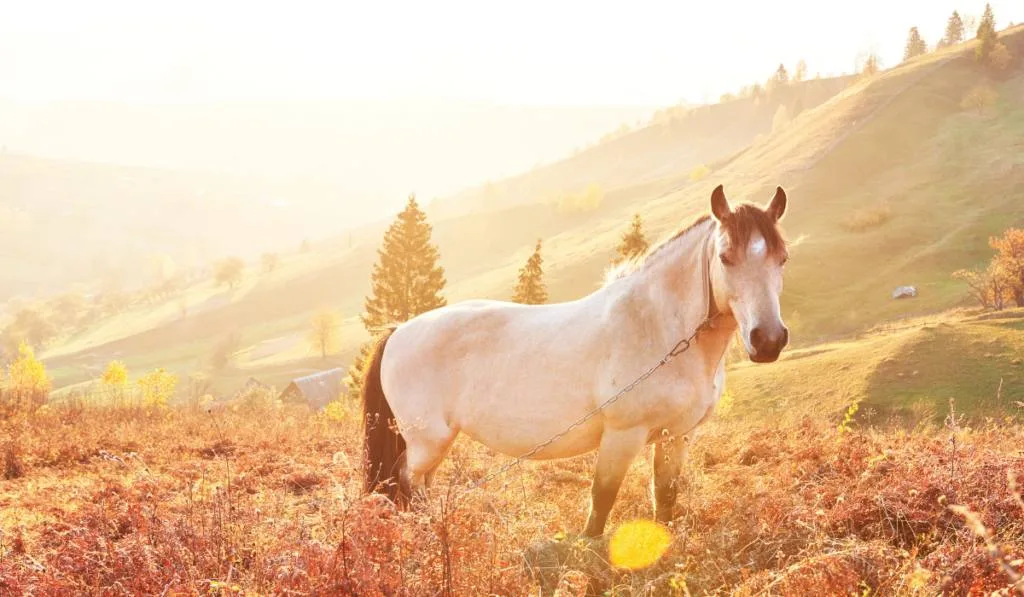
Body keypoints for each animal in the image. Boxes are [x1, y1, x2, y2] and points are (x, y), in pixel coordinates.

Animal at [360, 183, 790, 536]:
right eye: (725, 257)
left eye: (782, 258)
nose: (768, 340)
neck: (655, 325)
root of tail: (398, 331)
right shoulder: (621, 436)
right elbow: (601, 504)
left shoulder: (677, 436)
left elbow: (665, 501)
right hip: (425, 443)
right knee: (406, 486)